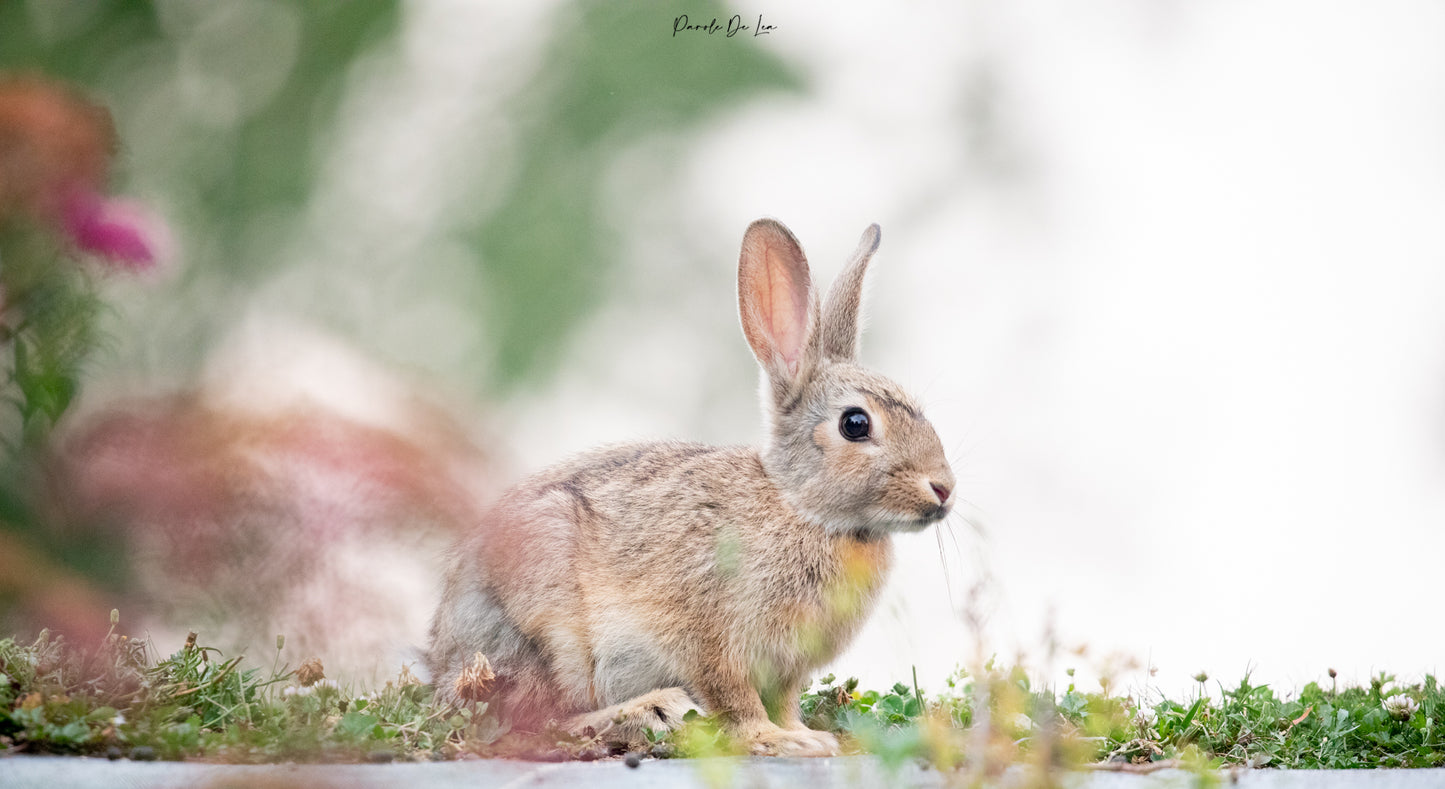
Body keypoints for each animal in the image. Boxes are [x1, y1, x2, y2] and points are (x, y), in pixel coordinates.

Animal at [421, 216, 953, 757]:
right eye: (855, 424)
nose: (943, 489)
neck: (802, 508)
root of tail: (445, 661)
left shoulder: (787, 668)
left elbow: (783, 701)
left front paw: (805, 737)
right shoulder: (709, 637)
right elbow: (733, 697)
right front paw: (773, 740)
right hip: (552, 633)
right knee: (533, 721)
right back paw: (654, 711)